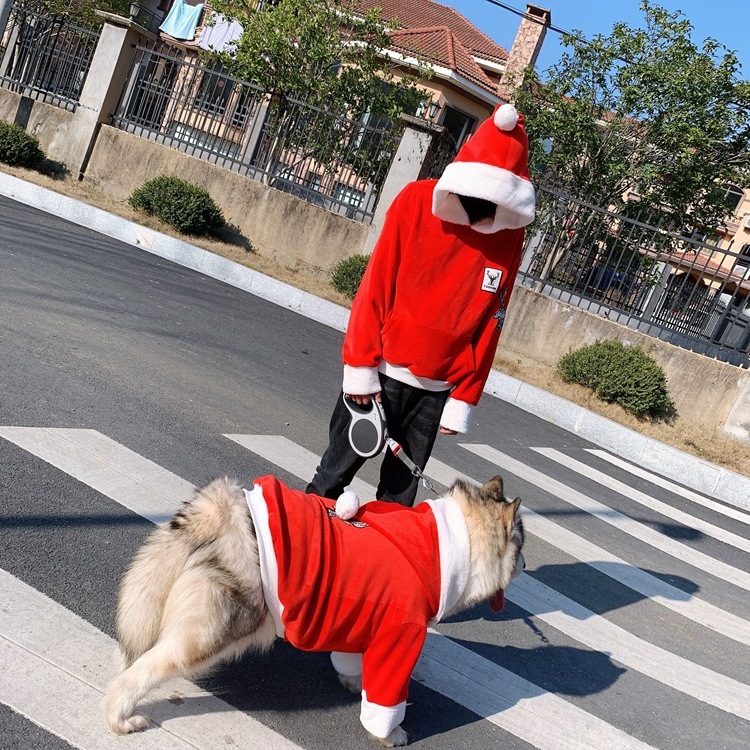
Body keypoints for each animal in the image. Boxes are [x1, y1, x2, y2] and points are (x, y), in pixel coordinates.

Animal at [104, 476, 528, 748]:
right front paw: (389, 734)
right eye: (521, 545)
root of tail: (223, 509)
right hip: (211, 633)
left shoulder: (363, 624)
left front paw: (355, 684)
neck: (452, 539)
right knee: (140, 673)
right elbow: (386, 703)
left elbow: (354, 663)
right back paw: (119, 717)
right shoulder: (401, 638)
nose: (525, 566)